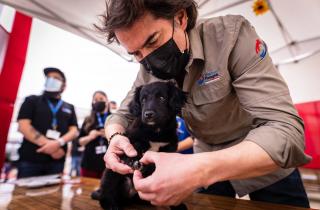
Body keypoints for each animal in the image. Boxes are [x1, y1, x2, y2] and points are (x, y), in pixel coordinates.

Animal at [92, 81, 188, 210]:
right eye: (143, 100)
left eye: (162, 98)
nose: (148, 114)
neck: (156, 131)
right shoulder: (132, 138)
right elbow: (136, 146)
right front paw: (133, 160)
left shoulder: (169, 148)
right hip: (111, 173)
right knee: (107, 189)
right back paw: (110, 204)